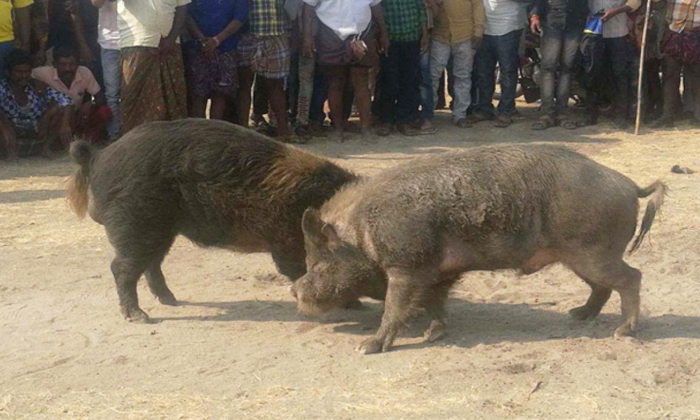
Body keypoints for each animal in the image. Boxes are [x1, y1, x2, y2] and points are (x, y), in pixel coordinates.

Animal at [67, 120, 356, 324]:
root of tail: (97, 158)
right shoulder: (288, 242)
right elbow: (300, 270)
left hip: (161, 229)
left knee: (151, 264)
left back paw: (172, 301)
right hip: (134, 222)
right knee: (121, 267)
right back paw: (140, 317)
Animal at [292, 144, 668, 354]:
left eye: (320, 263)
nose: (293, 289)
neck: (363, 234)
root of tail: (630, 185)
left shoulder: (407, 266)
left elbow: (394, 308)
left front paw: (366, 347)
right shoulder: (437, 271)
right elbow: (435, 302)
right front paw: (434, 335)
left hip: (595, 253)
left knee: (632, 277)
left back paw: (622, 332)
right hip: (580, 257)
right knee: (603, 287)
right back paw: (576, 315)